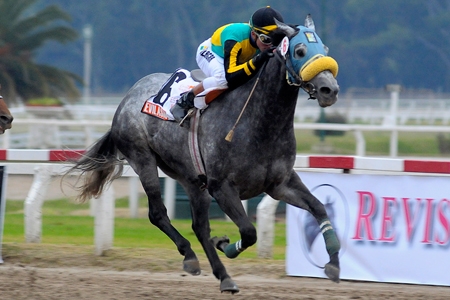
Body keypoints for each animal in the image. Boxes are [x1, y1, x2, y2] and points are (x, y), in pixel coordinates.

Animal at [66, 18, 342, 292]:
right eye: (300, 51)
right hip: (143, 159)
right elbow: (249, 231)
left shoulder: (280, 184)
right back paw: (191, 256)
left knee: (199, 226)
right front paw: (225, 244)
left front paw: (334, 264)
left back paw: (222, 275)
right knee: (158, 213)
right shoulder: (222, 187)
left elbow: (319, 208)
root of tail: (127, 98)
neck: (260, 122)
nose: (329, 89)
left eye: (325, 49)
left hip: (191, 180)